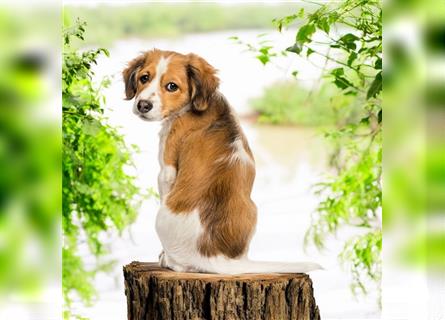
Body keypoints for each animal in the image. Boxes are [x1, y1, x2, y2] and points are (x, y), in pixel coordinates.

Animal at [123, 48, 320, 274]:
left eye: (172, 86)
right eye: (144, 78)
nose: (143, 105)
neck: (197, 104)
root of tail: (217, 258)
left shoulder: (166, 169)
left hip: (162, 216)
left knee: (181, 266)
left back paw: (168, 260)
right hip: (253, 209)